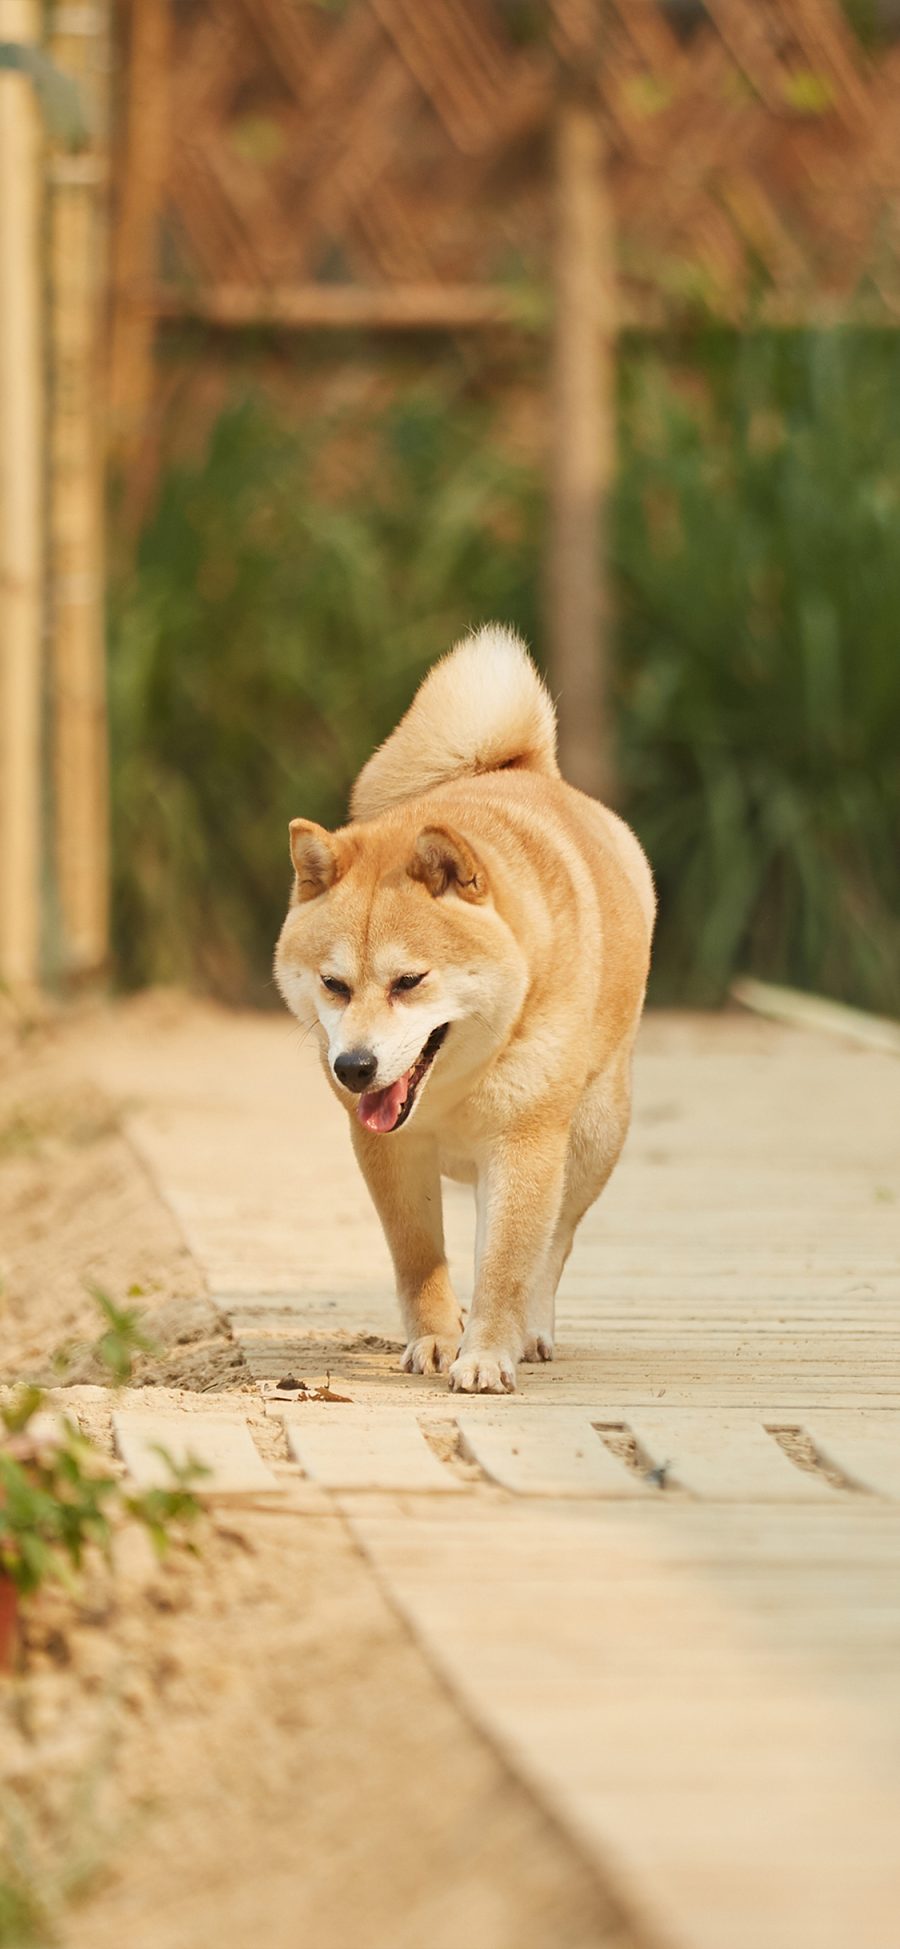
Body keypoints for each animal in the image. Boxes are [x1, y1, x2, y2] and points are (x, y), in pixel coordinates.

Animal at [274, 631, 654, 1395]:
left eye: (409, 981)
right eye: (333, 984)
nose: (353, 1066)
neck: (450, 1089)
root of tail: (527, 768)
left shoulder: (524, 1141)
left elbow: (508, 1263)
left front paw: (484, 1354)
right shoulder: (389, 1150)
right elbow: (419, 1258)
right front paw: (436, 1339)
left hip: (592, 1133)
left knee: (554, 1243)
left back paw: (530, 1331)